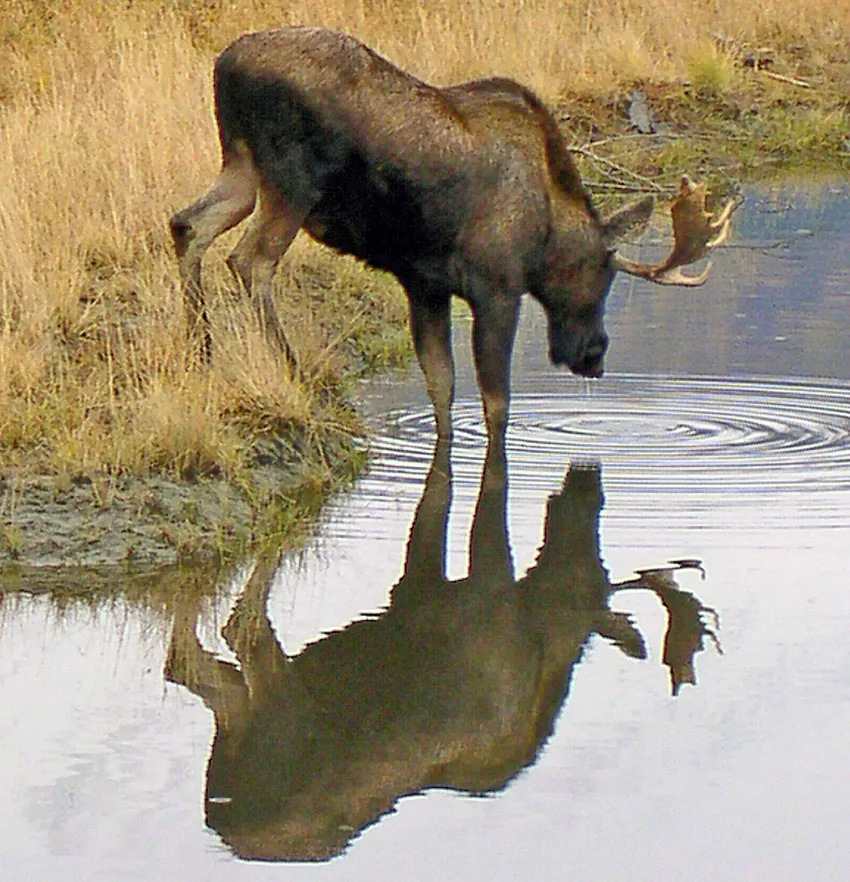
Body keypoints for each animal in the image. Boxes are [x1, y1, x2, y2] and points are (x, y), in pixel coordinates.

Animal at [169, 26, 735, 441]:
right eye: (602, 278)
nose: (595, 355)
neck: (547, 231)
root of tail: (224, 66)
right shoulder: (497, 290)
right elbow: (496, 406)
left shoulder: (426, 286)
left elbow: (442, 391)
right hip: (293, 180)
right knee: (250, 259)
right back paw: (291, 370)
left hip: (241, 166)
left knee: (188, 225)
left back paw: (202, 353)